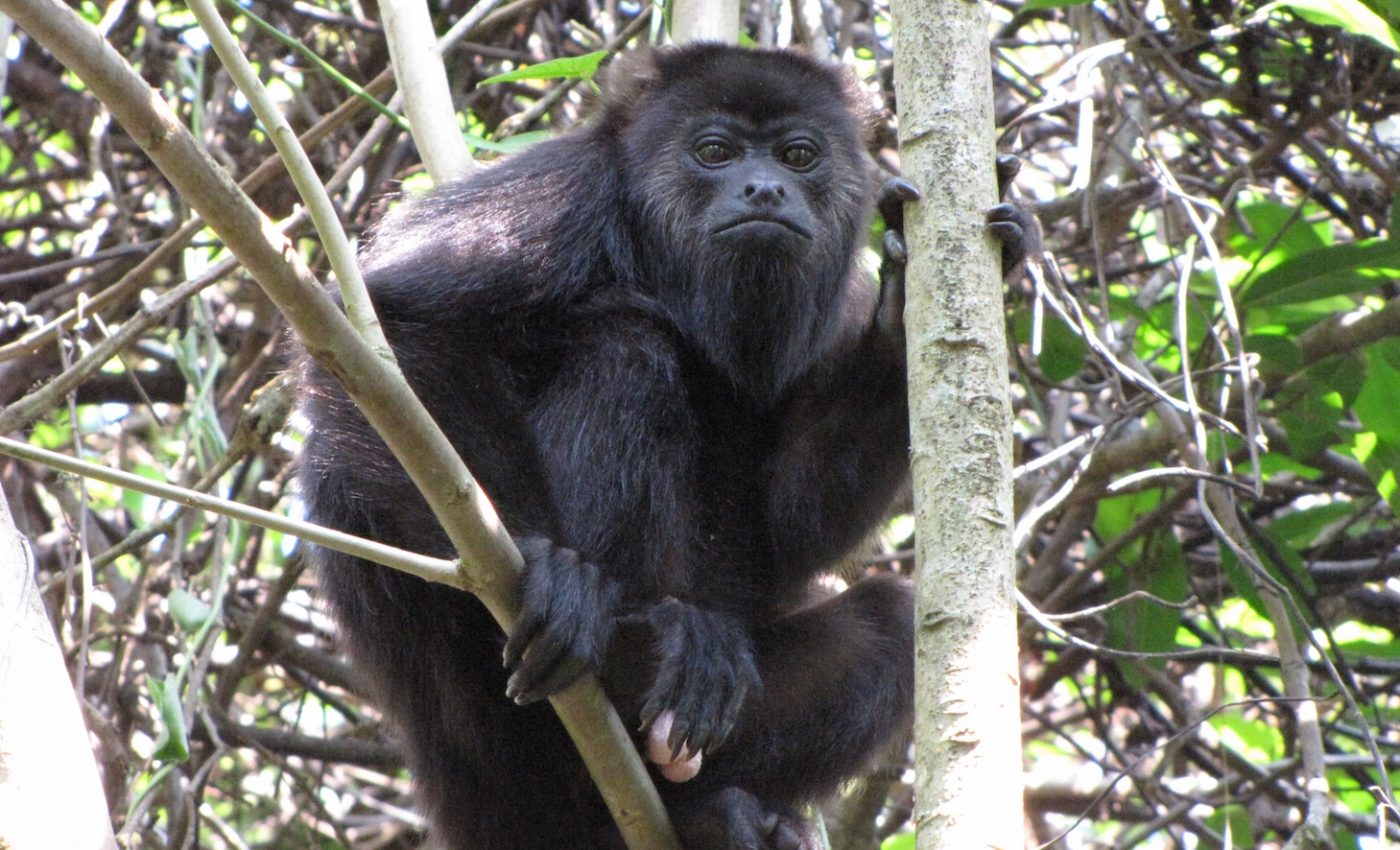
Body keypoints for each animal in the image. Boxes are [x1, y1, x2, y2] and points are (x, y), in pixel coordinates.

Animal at [297, 42, 1033, 850]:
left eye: (799, 154)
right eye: (713, 152)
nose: (765, 188)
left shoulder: (840, 304)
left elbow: (787, 529)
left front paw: (902, 315)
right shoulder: (560, 198)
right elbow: (402, 332)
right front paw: (552, 570)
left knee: (891, 627)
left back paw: (707, 804)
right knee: (628, 344)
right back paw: (632, 650)